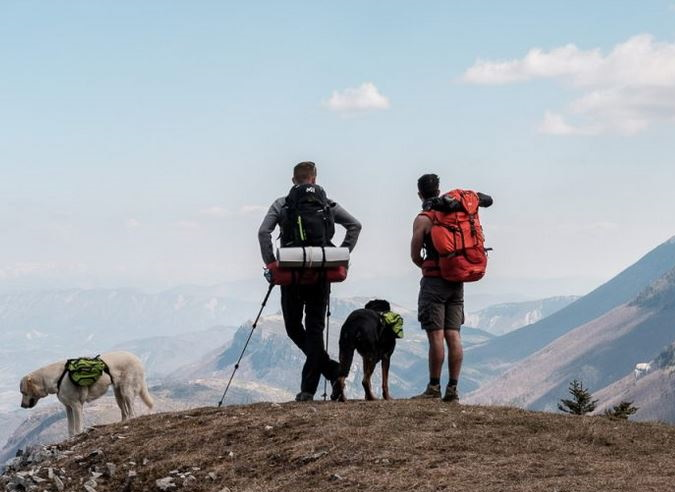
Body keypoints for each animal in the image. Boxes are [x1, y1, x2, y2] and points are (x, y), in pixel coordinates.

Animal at [20, 352, 155, 436]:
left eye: (23, 392)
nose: (22, 405)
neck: (56, 378)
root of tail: (137, 358)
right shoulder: (68, 407)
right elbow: (70, 427)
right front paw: (71, 437)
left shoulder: (76, 406)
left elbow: (78, 426)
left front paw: (78, 435)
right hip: (118, 395)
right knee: (125, 411)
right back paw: (122, 422)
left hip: (126, 391)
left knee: (132, 410)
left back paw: (130, 420)